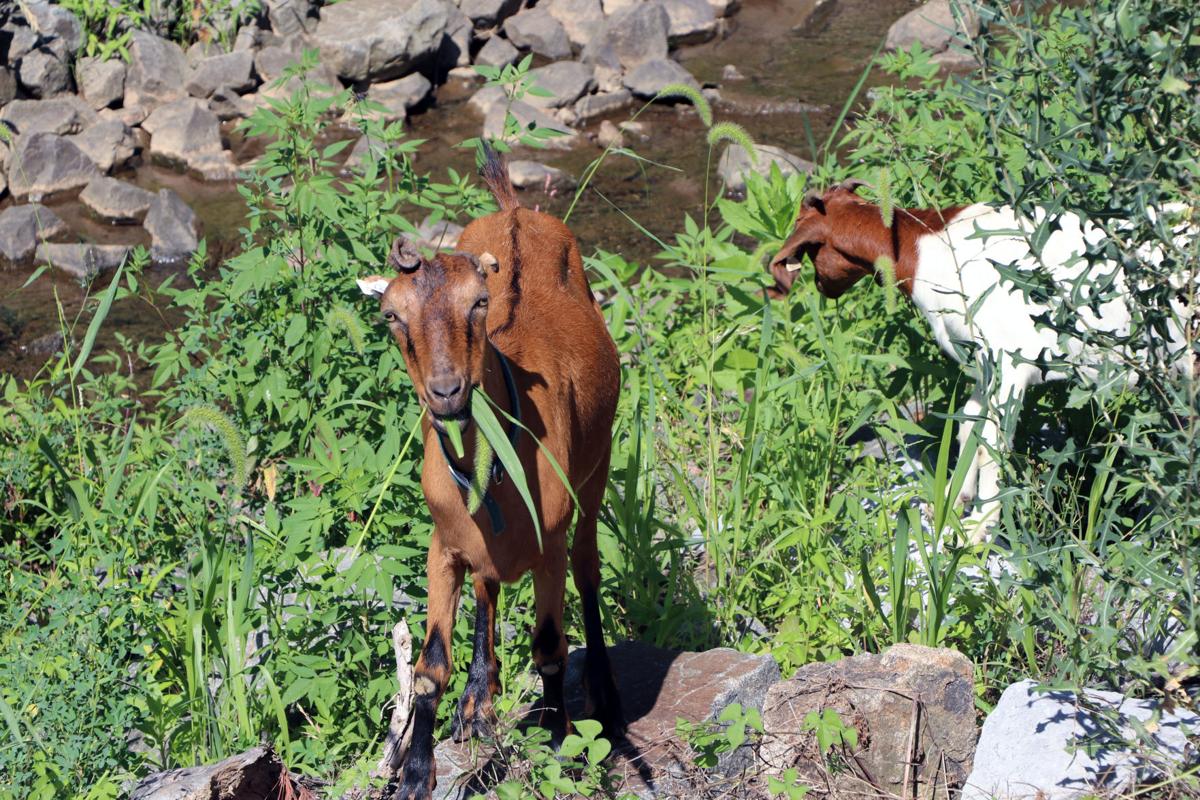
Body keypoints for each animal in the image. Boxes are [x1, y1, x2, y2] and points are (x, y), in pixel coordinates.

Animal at [355, 146, 624, 796]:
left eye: (479, 302)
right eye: (391, 316)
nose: (447, 392)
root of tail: (515, 211)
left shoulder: (549, 541)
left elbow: (551, 647)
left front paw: (560, 746)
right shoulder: (444, 544)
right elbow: (429, 668)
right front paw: (416, 771)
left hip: (597, 469)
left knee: (588, 569)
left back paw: (604, 693)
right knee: (488, 587)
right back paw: (479, 699)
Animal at [768, 182, 1190, 544]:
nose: (821, 287)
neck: (929, 249)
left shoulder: (1009, 364)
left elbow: (992, 444)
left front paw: (979, 527)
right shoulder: (982, 366)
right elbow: (969, 427)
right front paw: (953, 502)